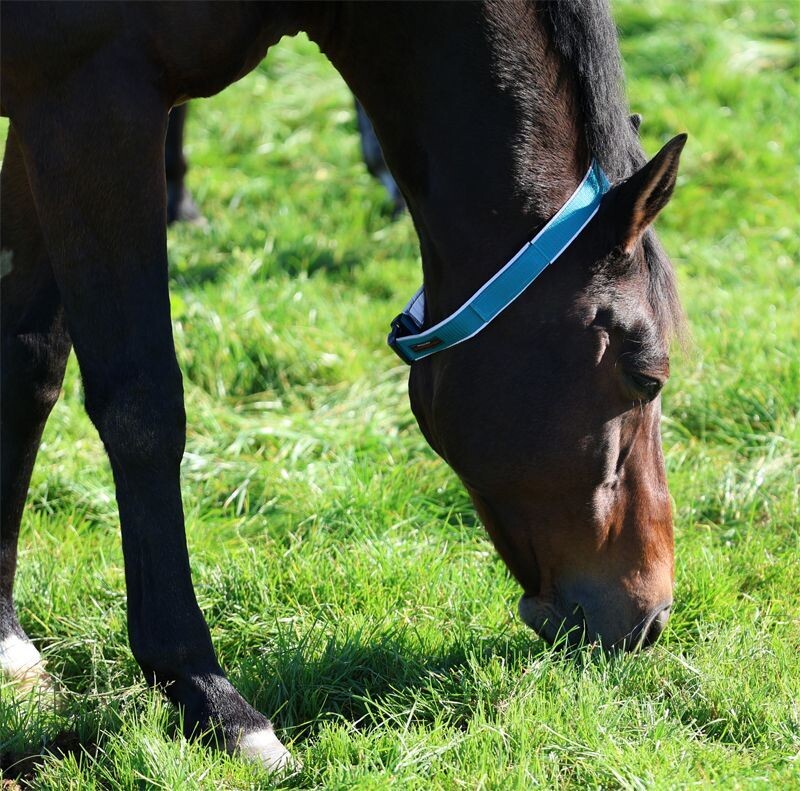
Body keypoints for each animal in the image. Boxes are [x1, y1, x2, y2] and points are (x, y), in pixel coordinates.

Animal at [0, 0, 688, 772]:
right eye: (646, 376)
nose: (654, 615)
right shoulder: (90, 101)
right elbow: (142, 407)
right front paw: (207, 695)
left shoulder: (39, 107)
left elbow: (25, 362)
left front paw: (5, 640)